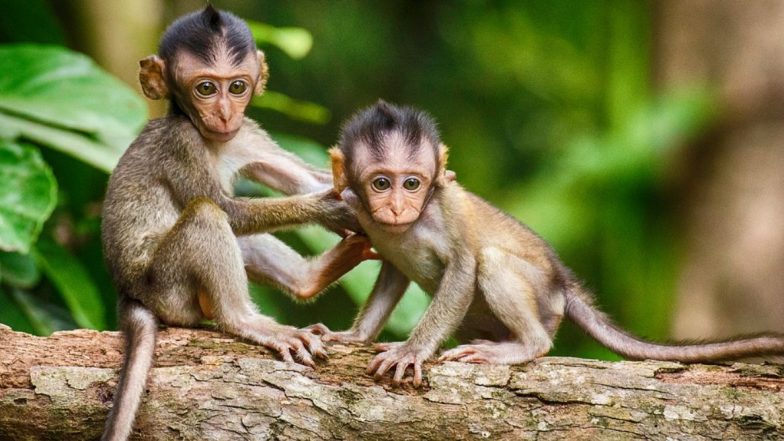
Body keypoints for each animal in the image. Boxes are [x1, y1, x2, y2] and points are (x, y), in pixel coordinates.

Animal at [100, 6, 372, 441]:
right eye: (206, 88)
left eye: (238, 86)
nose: (225, 112)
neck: (212, 139)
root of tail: (129, 292)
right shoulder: (181, 142)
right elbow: (228, 210)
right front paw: (329, 209)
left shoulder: (246, 134)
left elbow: (306, 179)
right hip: (168, 289)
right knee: (206, 215)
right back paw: (245, 320)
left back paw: (310, 278)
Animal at [313, 100, 784, 388]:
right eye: (381, 183)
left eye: (412, 183)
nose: (396, 207)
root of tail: (563, 284)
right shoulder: (360, 212)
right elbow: (392, 271)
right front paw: (354, 336)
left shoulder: (445, 208)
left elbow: (464, 267)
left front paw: (411, 350)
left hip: (543, 299)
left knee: (492, 262)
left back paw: (526, 346)